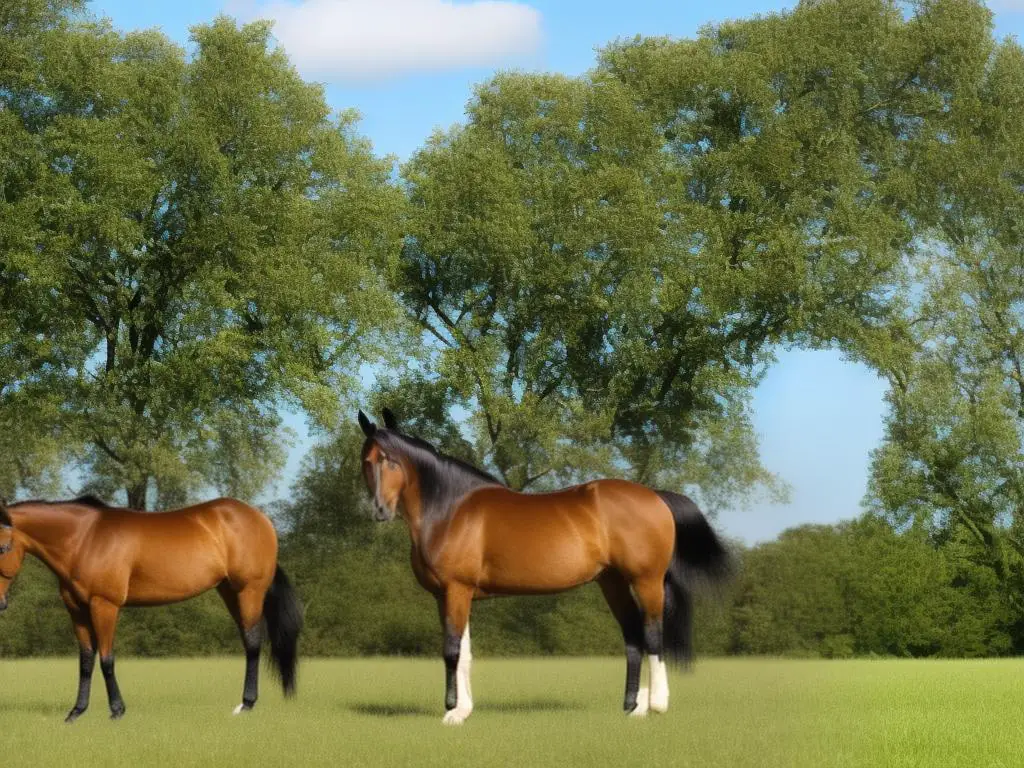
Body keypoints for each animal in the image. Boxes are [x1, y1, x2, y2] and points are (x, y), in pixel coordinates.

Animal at [0, 495, 303, 724]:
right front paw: (76, 713)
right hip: (228, 590)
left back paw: (246, 704)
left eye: (3, 547)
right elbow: (85, 661)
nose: (1, 603)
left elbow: (106, 660)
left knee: (253, 643)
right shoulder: (77, 611)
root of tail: (261, 519)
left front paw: (117, 711)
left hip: (249, 591)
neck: (84, 539)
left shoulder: (104, 605)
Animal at [356, 409, 733, 729]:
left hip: (647, 581)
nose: (379, 511)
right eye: (367, 460)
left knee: (653, 635)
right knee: (633, 637)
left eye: (392, 460)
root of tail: (654, 495)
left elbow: (451, 650)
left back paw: (656, 704)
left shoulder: (457, 589)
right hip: (611, 583)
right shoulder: (447, 596)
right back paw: (633, 707)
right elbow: (463, 653)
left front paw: (451, 713)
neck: (450, 509)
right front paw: (463, 710)